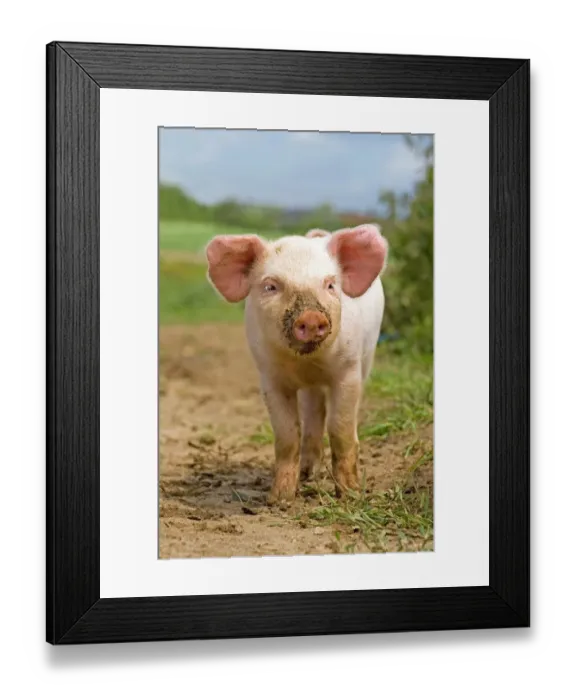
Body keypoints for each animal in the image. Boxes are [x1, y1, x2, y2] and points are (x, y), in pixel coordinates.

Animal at [205, 224, 388, 506]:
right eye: (271, 286)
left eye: (330, 284)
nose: (311, 317)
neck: (307, 363)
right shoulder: (269, 378)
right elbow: (287, 435)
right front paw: (279, 500)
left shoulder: (349, 371)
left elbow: (341, 431)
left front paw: (350, 496)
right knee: (313, 413)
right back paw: (307, 474)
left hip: (367, 358)